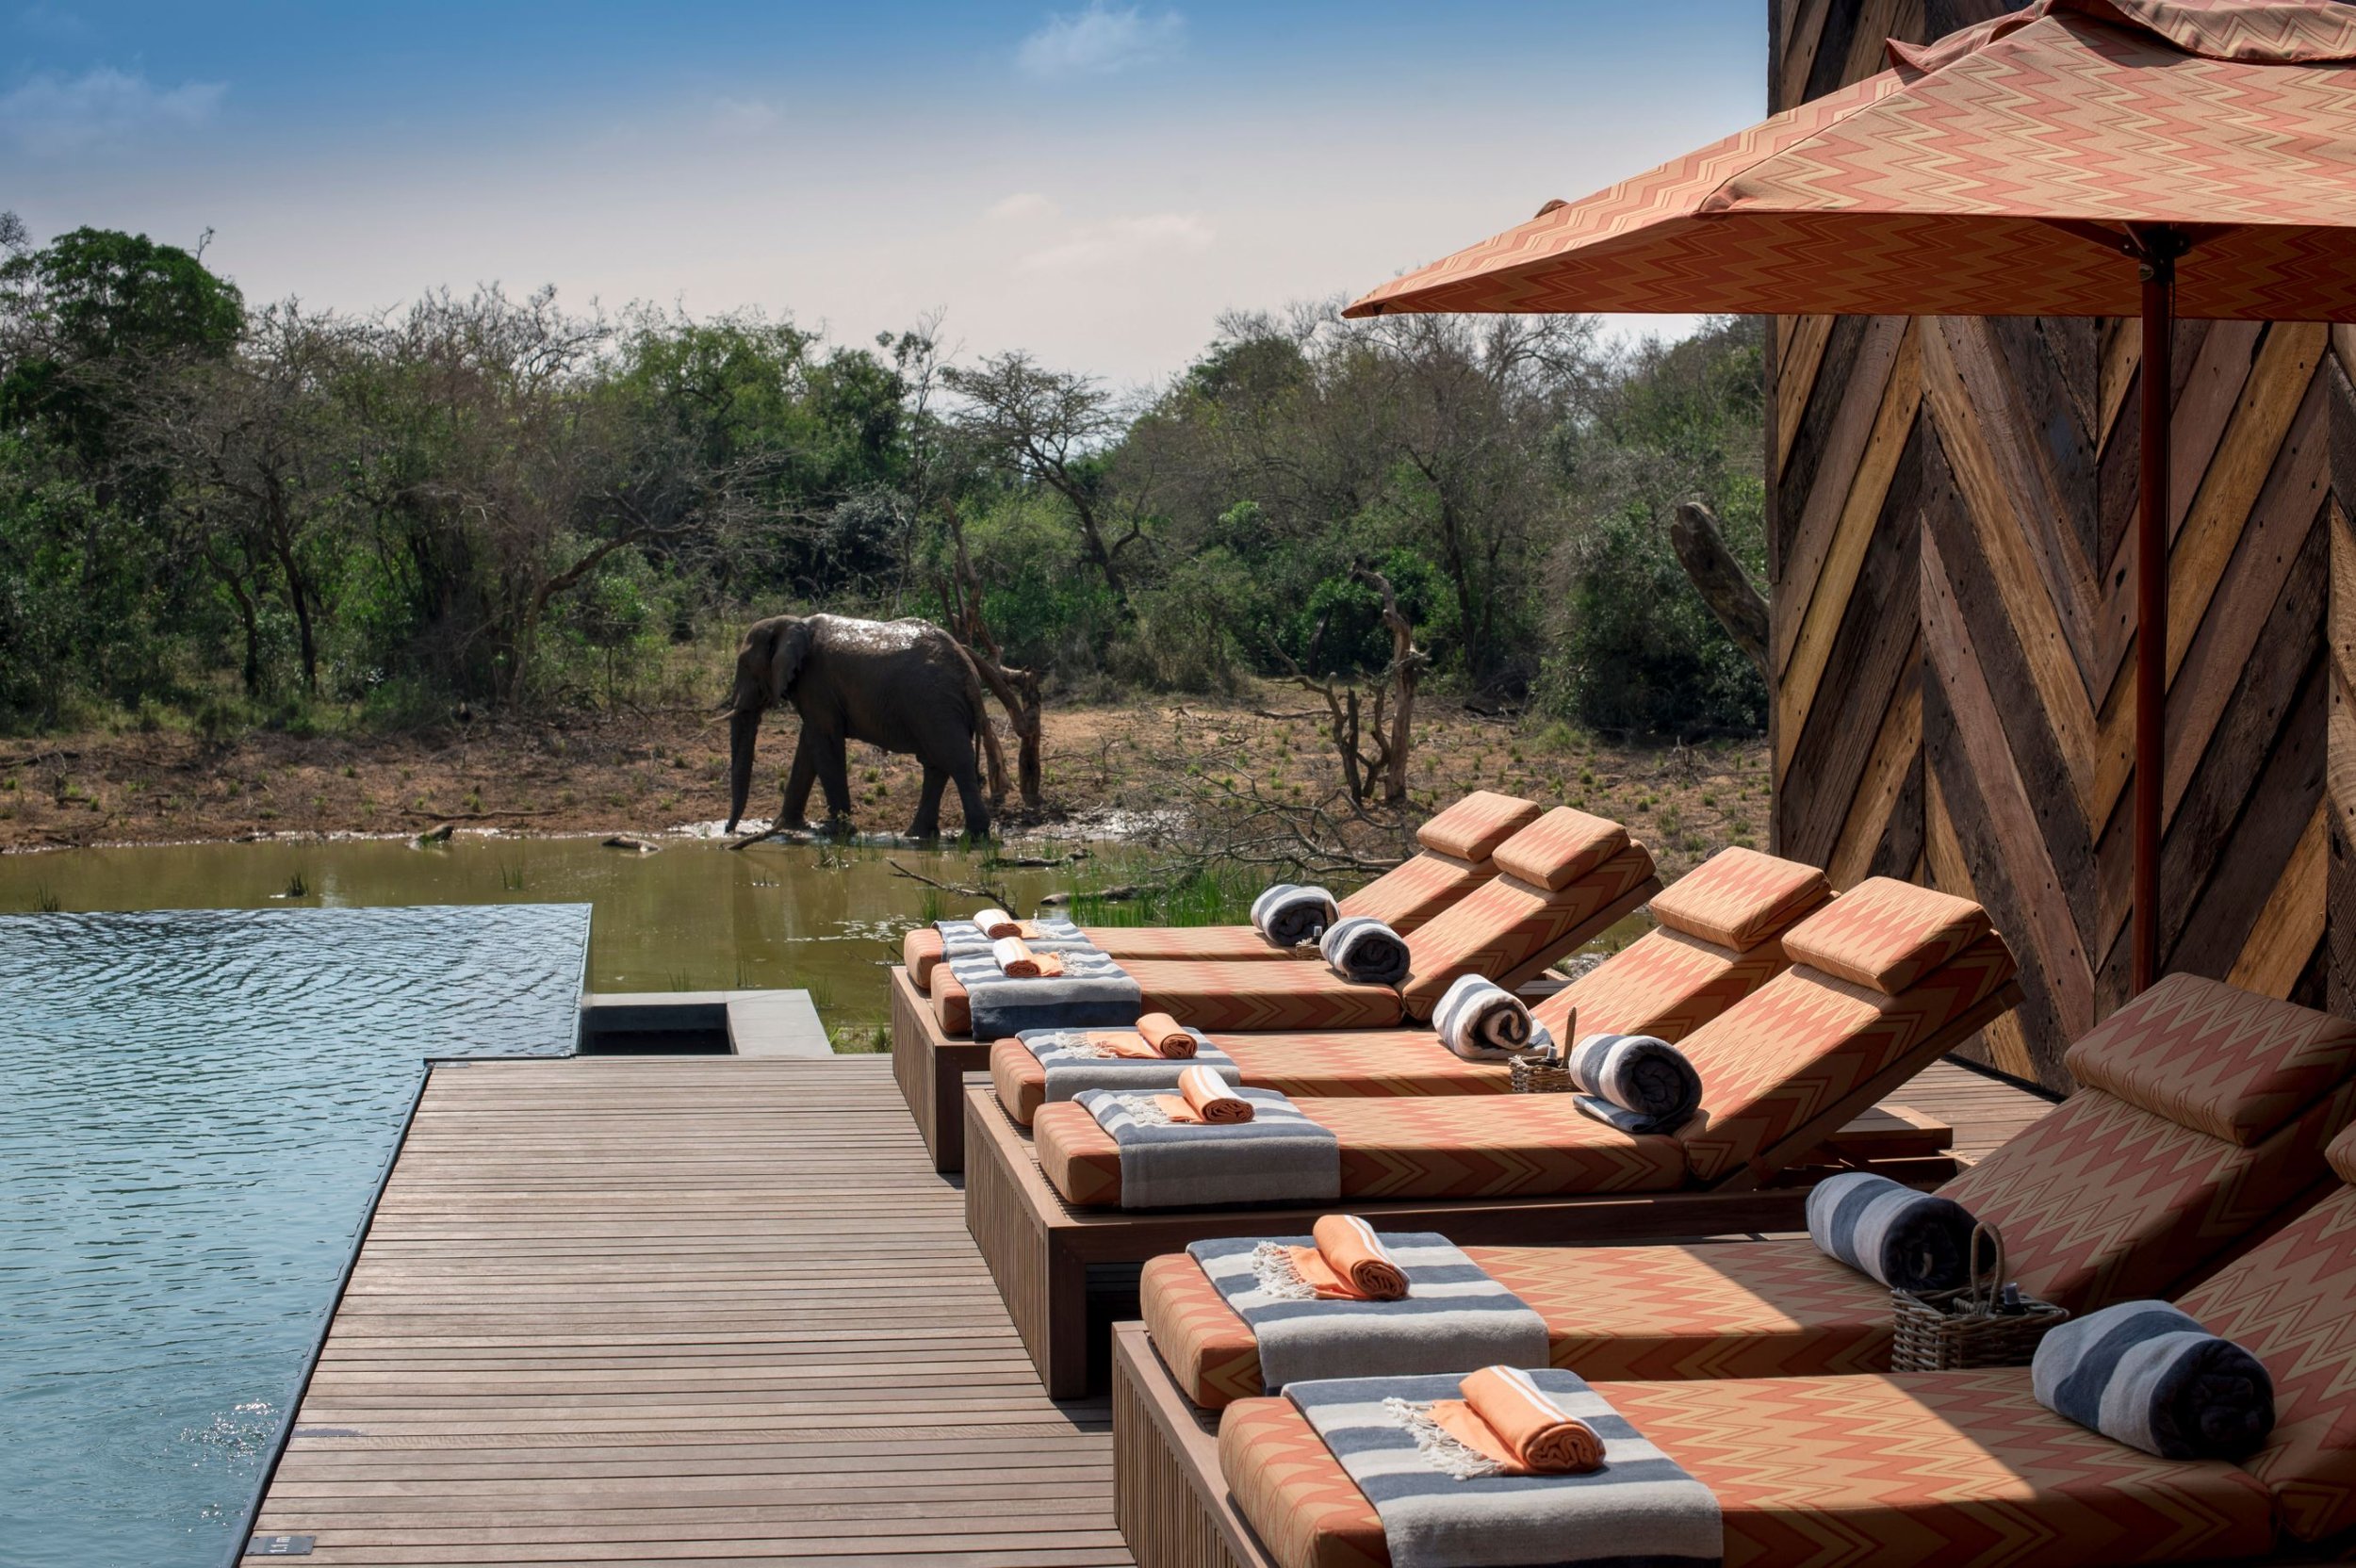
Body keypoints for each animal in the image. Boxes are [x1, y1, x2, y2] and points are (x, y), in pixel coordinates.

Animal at [723, 613, 1003, 840]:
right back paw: (918, 835)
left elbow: (825, 741)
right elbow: (809, 745)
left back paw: (973, 836)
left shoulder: (816, 682)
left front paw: (834, 831)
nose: (730, 831)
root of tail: (969, 672)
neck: (794, 622)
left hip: (935, 702)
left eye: (745, 666)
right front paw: (786, 826)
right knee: (936, 763)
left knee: (955, 760)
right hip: (937, 707)